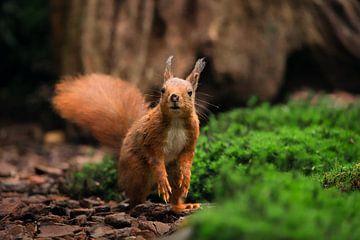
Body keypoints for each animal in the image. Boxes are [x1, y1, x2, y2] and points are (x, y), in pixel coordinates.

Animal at [52, 57, 207, 211]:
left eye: (190, 92)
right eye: (163, 90)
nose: (174, 97)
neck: (176, 120)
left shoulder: (192, 138)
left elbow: (187, 158)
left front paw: (186, 178)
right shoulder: (151, 136)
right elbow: (155, 158)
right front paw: (162, 180)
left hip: (173, 171)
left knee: (175, 194)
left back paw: (182, 206)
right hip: (137, 170)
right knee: (136, 196)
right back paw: (141, 205)